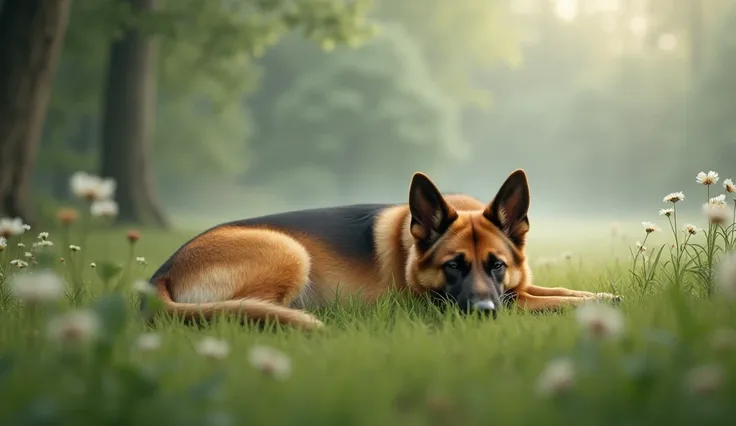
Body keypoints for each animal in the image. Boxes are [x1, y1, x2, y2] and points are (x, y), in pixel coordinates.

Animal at [150, 170, 620, 330]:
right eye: (453, 266)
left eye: (497, 265)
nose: (484, 314)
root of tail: (159, 274)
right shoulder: (511, 300)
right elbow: (547, 301)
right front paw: (593, 303)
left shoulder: (511, 289)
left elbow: (556, 291)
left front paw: (605, 297)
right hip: (289, 250)